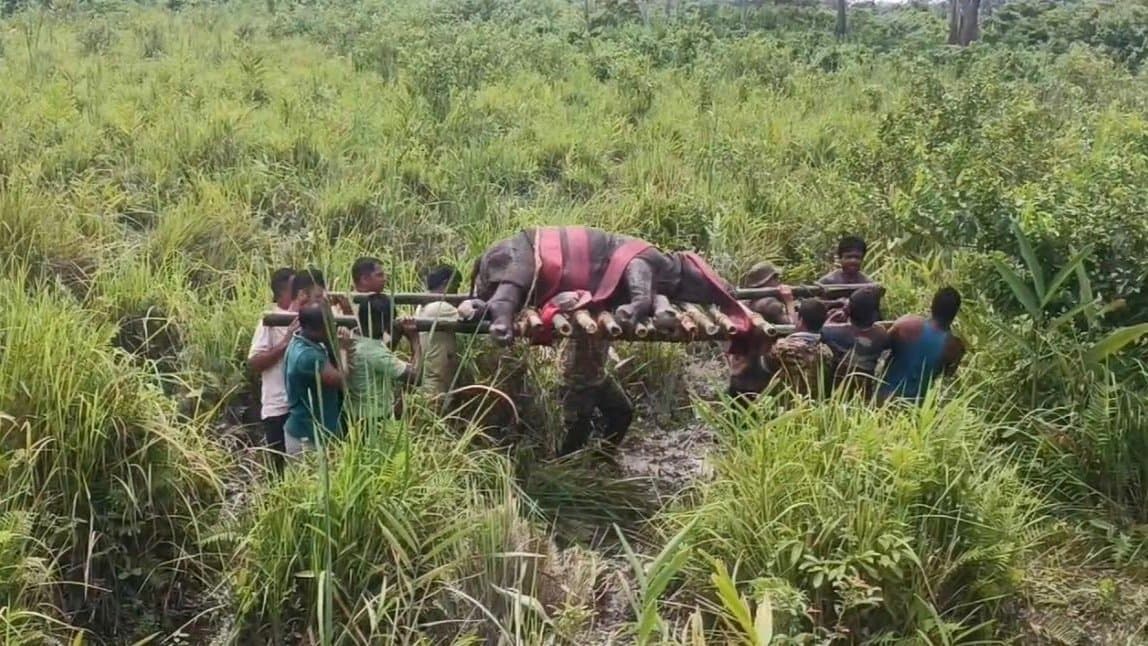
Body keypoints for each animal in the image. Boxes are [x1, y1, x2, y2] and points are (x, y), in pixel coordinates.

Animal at [469, 226, 750, 344]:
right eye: (706, 272)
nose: (730, 287)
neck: (672, 267)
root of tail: (481, 257)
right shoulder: (640, 263)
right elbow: (642, 288)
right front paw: (627, 314)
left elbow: (655, 297)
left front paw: (664, 314)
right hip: (519, 264)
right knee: (509, 291)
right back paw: (502, 331)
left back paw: (475, 309)